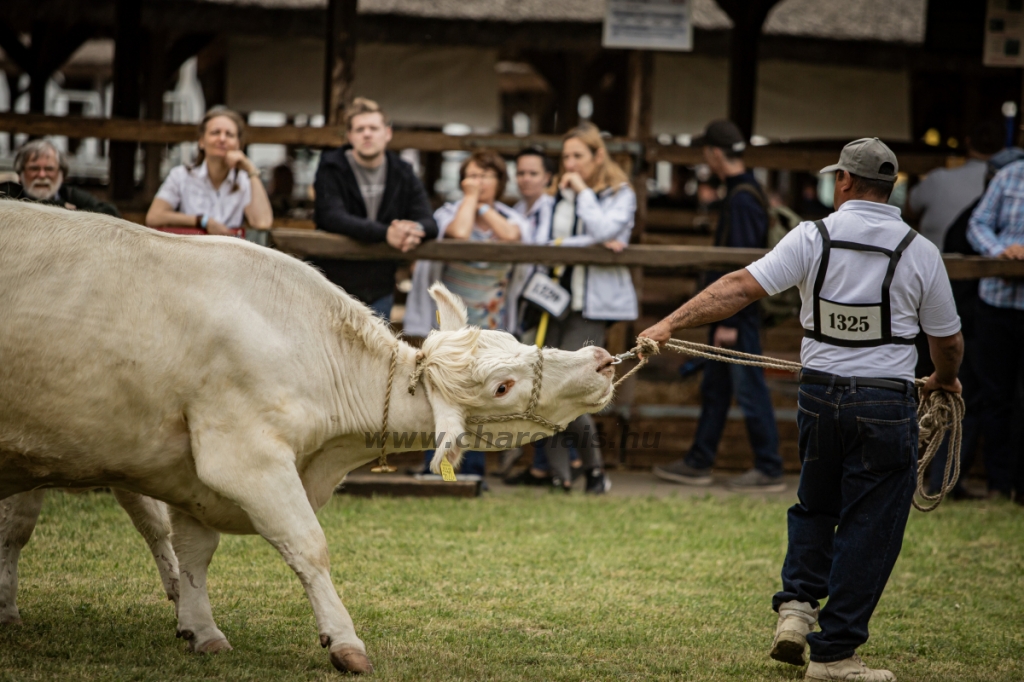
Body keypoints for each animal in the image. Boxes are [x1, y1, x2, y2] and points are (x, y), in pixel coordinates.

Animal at [0, 200, 614, 667]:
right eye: (502, 386)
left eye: (513, 338)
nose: (603, 360)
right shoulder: (241, 455)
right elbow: (308, 545)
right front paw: (345, 642)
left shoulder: (194, 475)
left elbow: (195, 552)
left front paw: (201, 629)